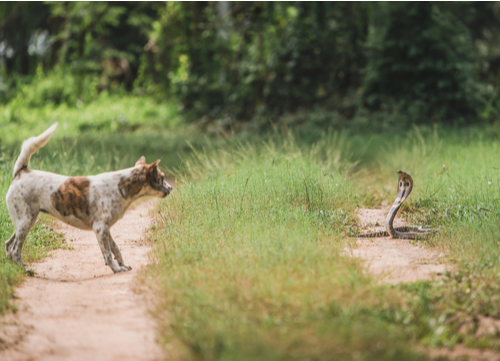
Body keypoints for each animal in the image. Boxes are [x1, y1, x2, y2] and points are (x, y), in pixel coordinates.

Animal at [3, 122, 173, 272]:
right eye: (162, 178)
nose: (171, 188)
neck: (121, 186)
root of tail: (22, 172)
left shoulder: (106, 229)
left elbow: (116, 249)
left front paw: (122, 265)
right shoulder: (100, 229)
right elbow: (107, 254)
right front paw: (116, 269)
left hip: (26, 222)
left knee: (8, 245)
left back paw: (14, 268)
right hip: (25, 223)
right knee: (15, 250)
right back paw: (25, 270)